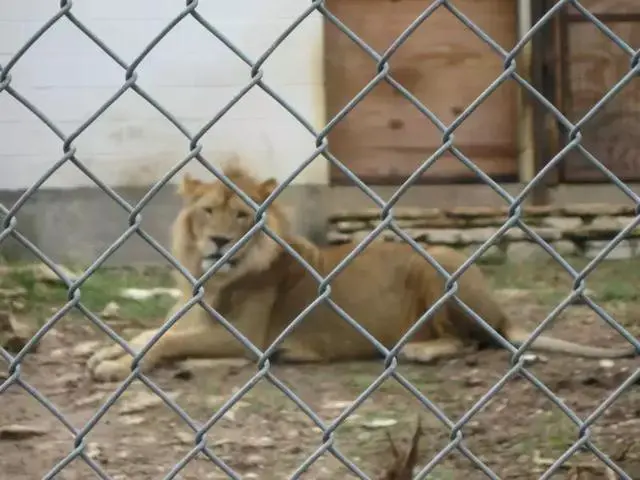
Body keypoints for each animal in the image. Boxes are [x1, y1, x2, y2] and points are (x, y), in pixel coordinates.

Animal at [85, 166, 636, 382]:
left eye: (242, 215)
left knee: (472, 342)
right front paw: (105, 354)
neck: (214, 277)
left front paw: (117, 365)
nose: (220, 241)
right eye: (206, 212)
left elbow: (164, 341)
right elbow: (150, 333)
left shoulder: (243, 337)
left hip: (438, 264)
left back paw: (418, 349)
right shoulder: (201, 322)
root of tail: (500, 313)